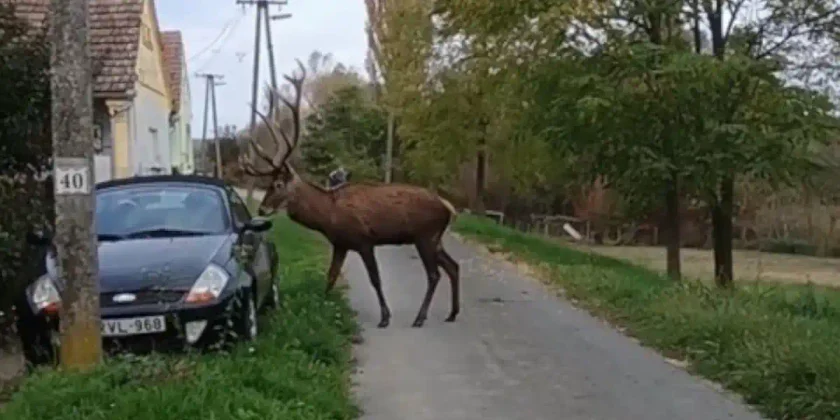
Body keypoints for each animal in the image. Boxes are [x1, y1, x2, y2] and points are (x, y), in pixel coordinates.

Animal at [240, 60, 460, 329]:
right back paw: (452, 313)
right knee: (453, 266)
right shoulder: (341, 243)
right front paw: (320, 309)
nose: (262, 208)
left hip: (425, 235)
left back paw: (420, 317)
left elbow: (375, 278)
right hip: (435, 238)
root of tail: (449, 207)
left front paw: (385, 317)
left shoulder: (364, 240)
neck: (328, 215)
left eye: (279, 184)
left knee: (434, 274)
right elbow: (331, 276)